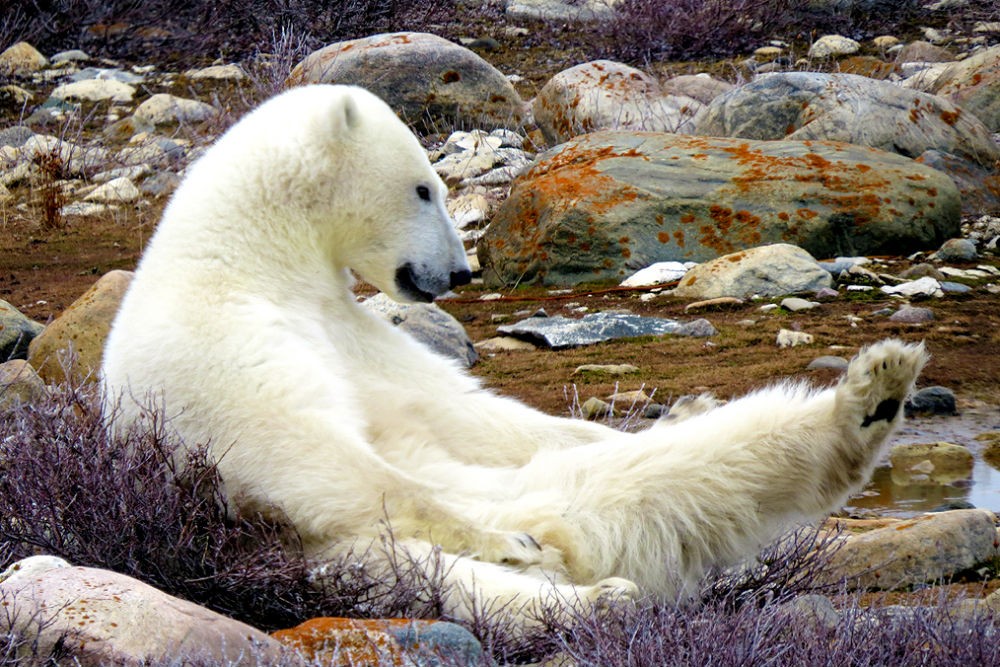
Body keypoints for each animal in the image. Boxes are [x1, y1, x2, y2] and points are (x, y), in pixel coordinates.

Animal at [97, 85, 924, 628]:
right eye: (423, 188)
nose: (461, 273)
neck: (248, 256)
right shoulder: (218, 345)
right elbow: (309, 455)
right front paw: (505, 540)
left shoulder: (344, 326)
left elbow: (459, 409)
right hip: (333, 556)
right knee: (449, 582)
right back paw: (586, 588)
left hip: (557, 487)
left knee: (668, 472)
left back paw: (863, 398)